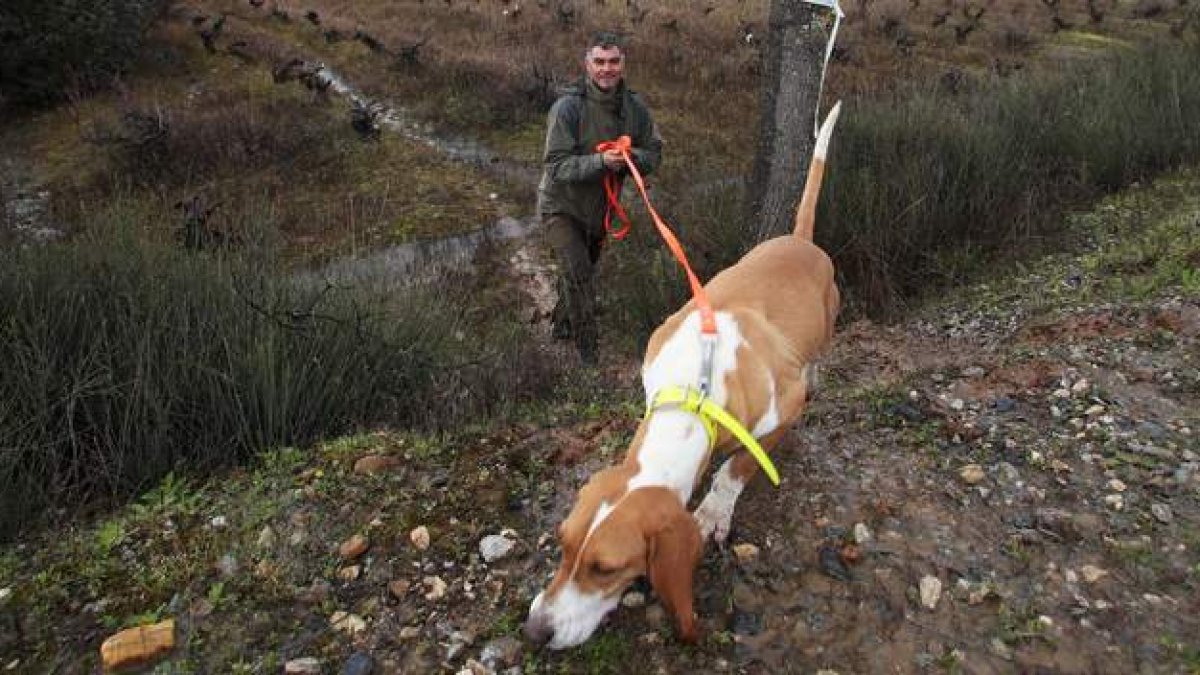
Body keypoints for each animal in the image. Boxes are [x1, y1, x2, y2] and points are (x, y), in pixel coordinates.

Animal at [525, 102, 844, 643]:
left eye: (606, 569)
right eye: (563, 546)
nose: (534, 632)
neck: (694, 394)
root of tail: (800, 240)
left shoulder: (778, 413)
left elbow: (736, 469)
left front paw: (715, 511)